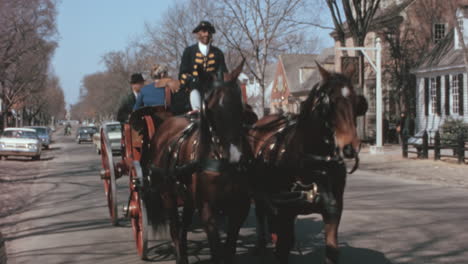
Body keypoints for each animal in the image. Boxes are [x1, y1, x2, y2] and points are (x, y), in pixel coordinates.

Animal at [144, 60, 252, 262]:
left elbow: (229, 250)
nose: (234, 155)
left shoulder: (240, 207)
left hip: (187, 197)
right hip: (167, 195)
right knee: (175, 229)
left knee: (183, 228)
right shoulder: (207, 209)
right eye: (210, 109)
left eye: (240, 107)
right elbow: (217, 251)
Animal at [250, 64, 368, 264]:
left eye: (356, 101)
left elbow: (332, 251)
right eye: (329, 103)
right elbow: (283, 249)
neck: (314, 164)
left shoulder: (333, 210)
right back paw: (260, 243)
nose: (349, 147)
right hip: (259, 193)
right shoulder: (286, 211)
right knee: (260, 213)